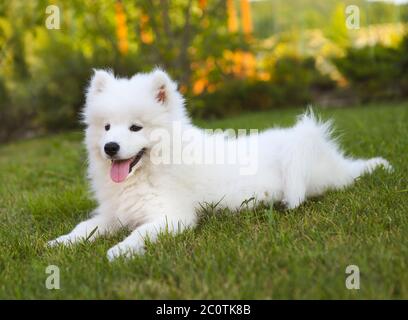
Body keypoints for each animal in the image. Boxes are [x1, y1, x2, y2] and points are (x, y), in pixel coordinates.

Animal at [47, 69, 392, 262]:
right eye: (106, 127)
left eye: (135, 128)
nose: (110, 148)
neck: (150, 172)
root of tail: (303, 140)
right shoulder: (114, 213)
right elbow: (84, 228)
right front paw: (60, 243)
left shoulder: (173, 216)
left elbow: (140, 232)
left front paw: (120, 251)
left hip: (323, 178)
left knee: (350, 171)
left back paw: (380, 165)